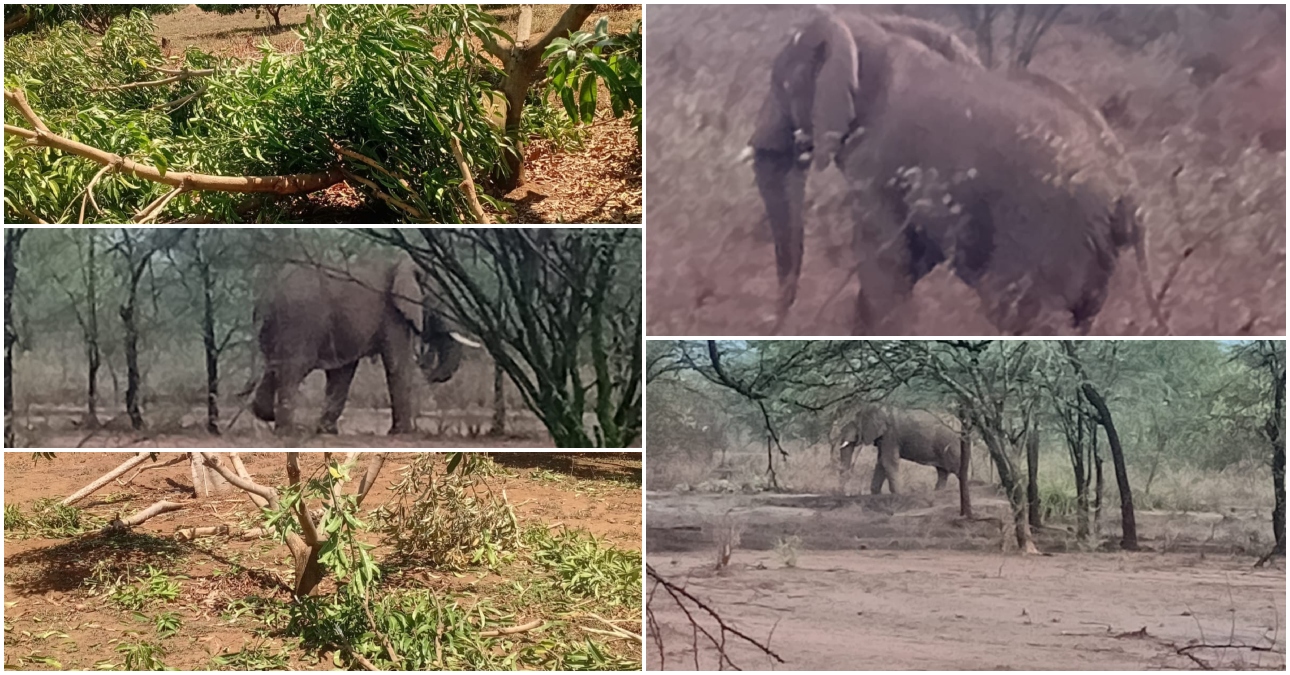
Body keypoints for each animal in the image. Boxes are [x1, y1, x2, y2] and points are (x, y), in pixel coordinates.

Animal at [250, 258, 475, 435]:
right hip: (300, 322)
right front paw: (403, 433)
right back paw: (289, 431)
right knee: (292, 370)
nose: (430, 375)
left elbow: (343, 373)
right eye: (440, 301)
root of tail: (269, 294)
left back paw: (267, 415)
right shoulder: (392, 314)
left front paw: (328, 432)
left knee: (274, 367)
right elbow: (397, 363)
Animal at [749, 8, 1160, 335]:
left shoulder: (879, 165)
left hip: (1051, 230)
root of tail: (1131, 196)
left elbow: (886, 264)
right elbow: (910, 262)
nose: (774, 326)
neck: (868, 30)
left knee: (1023, 315)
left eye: (779, 85)